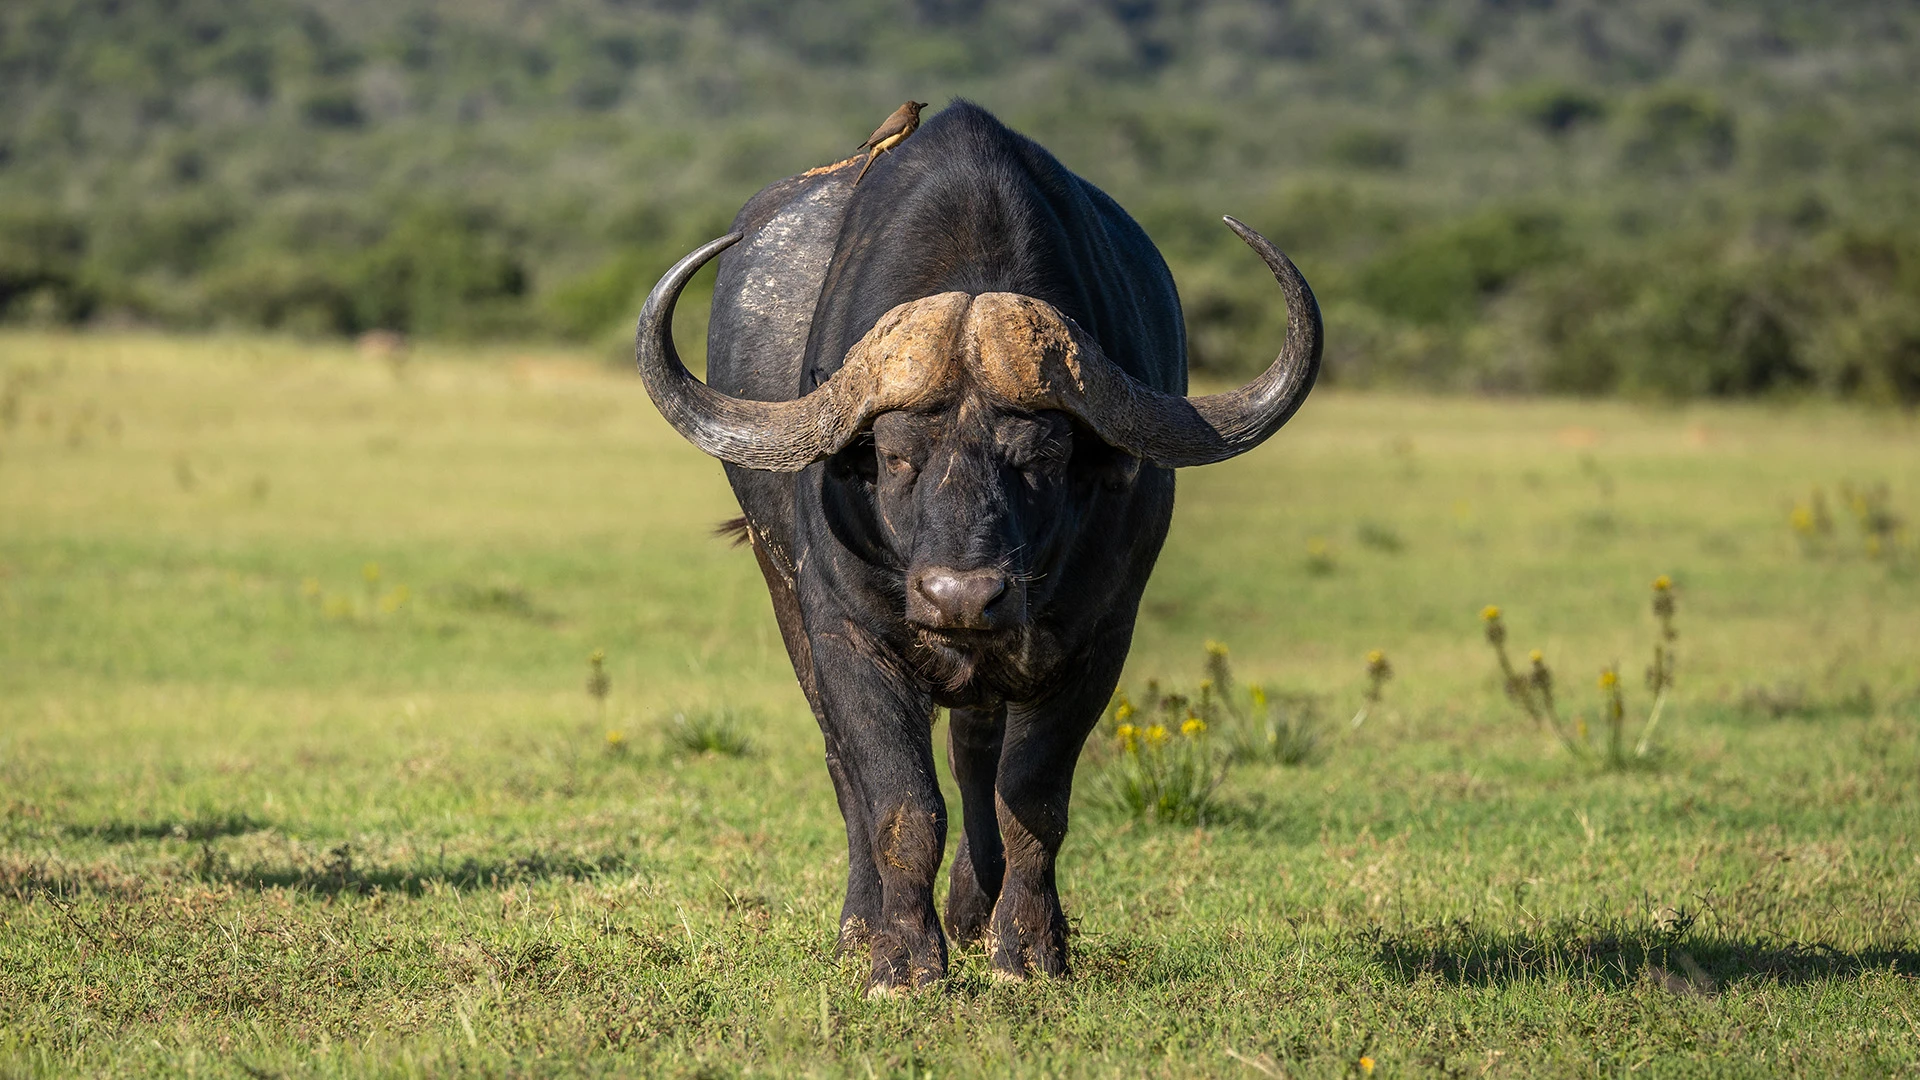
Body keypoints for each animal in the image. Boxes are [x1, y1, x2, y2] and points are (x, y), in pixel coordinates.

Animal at [635, 101, 1320, 994]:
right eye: (894, 455)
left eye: (1042, 456)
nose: (960, 596)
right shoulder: (849, 634)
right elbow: (898, 802)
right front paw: (898, 957)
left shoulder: (1097, 638)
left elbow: (1030, 799)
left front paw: (1026, 948)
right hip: (785, 595)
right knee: (846, 763)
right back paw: (864, 922)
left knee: (974, 755)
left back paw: (973, 910)